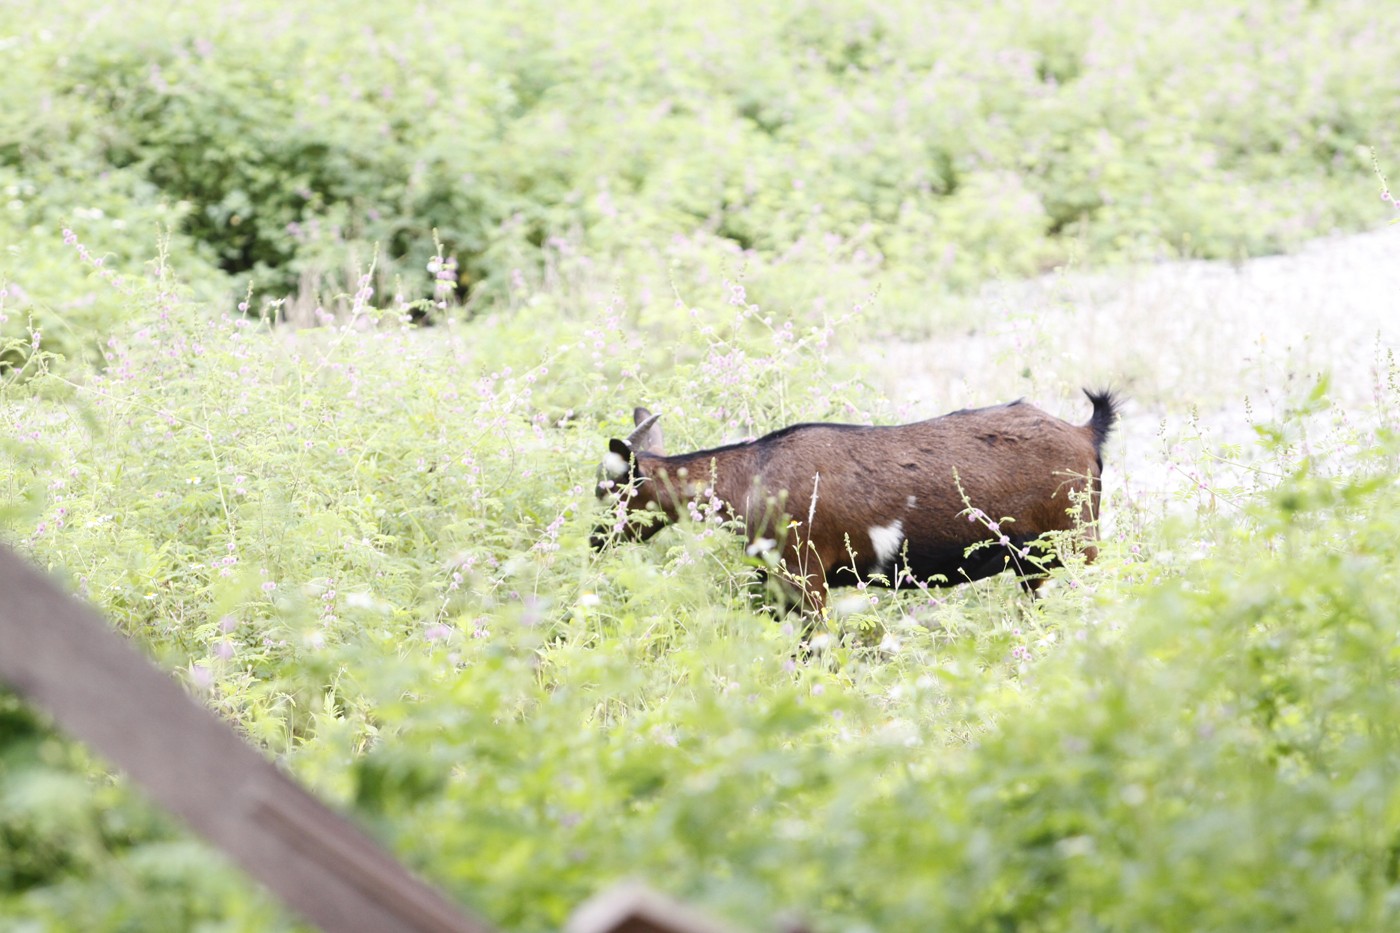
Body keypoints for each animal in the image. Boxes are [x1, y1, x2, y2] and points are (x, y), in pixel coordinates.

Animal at [588, 389, 1114, 613]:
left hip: (1077, 544)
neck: (754, 474)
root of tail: (1086, 433)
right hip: (1035, 563)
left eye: (607, 490)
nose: (594, 542)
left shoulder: (806, 575)